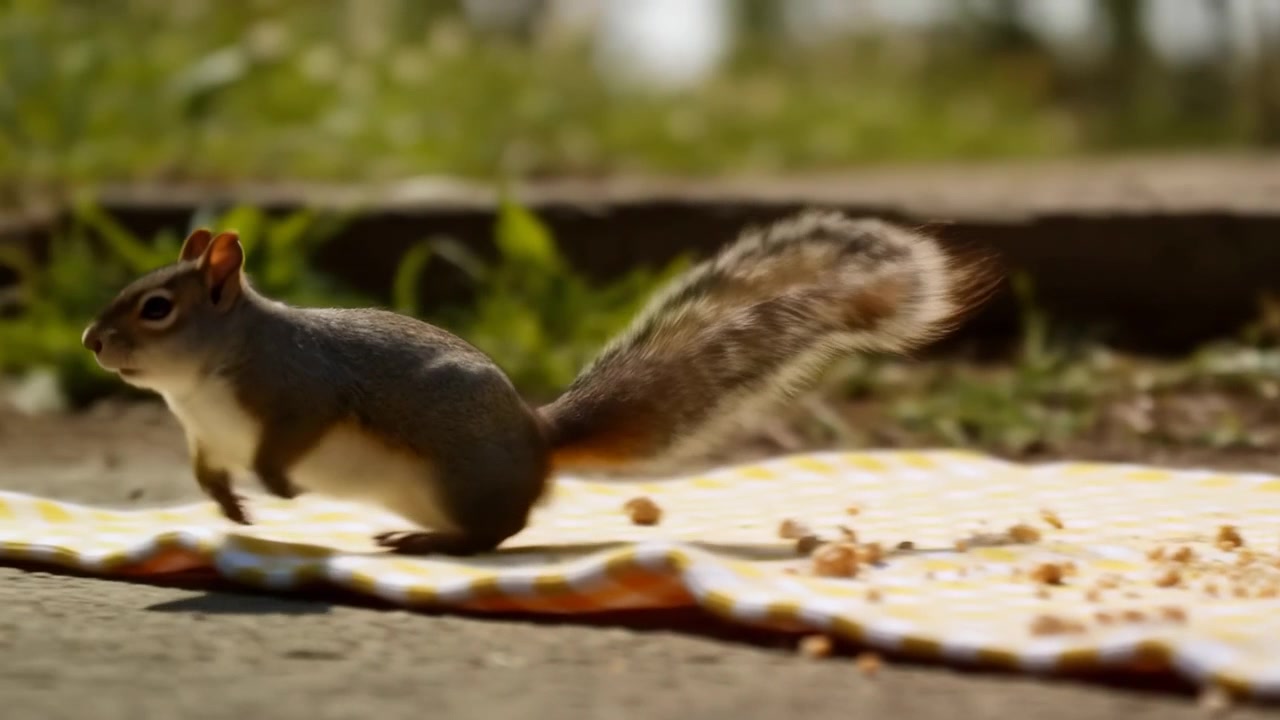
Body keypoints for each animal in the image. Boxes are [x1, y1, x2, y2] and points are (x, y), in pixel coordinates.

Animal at [80, 210, 999, 556]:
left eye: (157, 308)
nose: (92, 340)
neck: (202, 384)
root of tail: (539, 440)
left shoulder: (301, 393)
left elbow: (289, 442)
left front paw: (276, 487)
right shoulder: (204, 435)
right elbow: (206, 471)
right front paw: (230, 507)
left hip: (457, 474)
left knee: (499, 533)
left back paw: (434, 545)